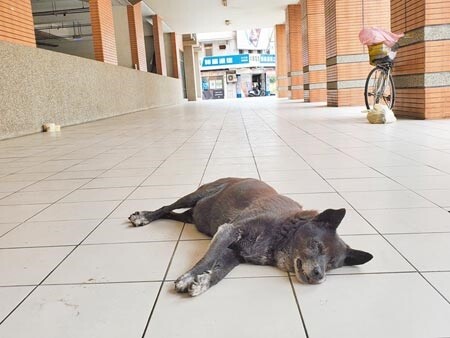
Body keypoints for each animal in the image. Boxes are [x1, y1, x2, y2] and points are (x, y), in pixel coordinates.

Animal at [127, 177, 372, 296]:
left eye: (331, 264)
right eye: (317, 245)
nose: (319, 275)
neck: (281, 233)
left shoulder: (235, 254)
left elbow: (220, 271)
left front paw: (204, 282)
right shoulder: (229, 231)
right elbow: (207, 259)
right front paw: (187, 278)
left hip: (193, 217)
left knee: (173, 214)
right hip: (196, 195)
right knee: (166, 207)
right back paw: (144, 217)